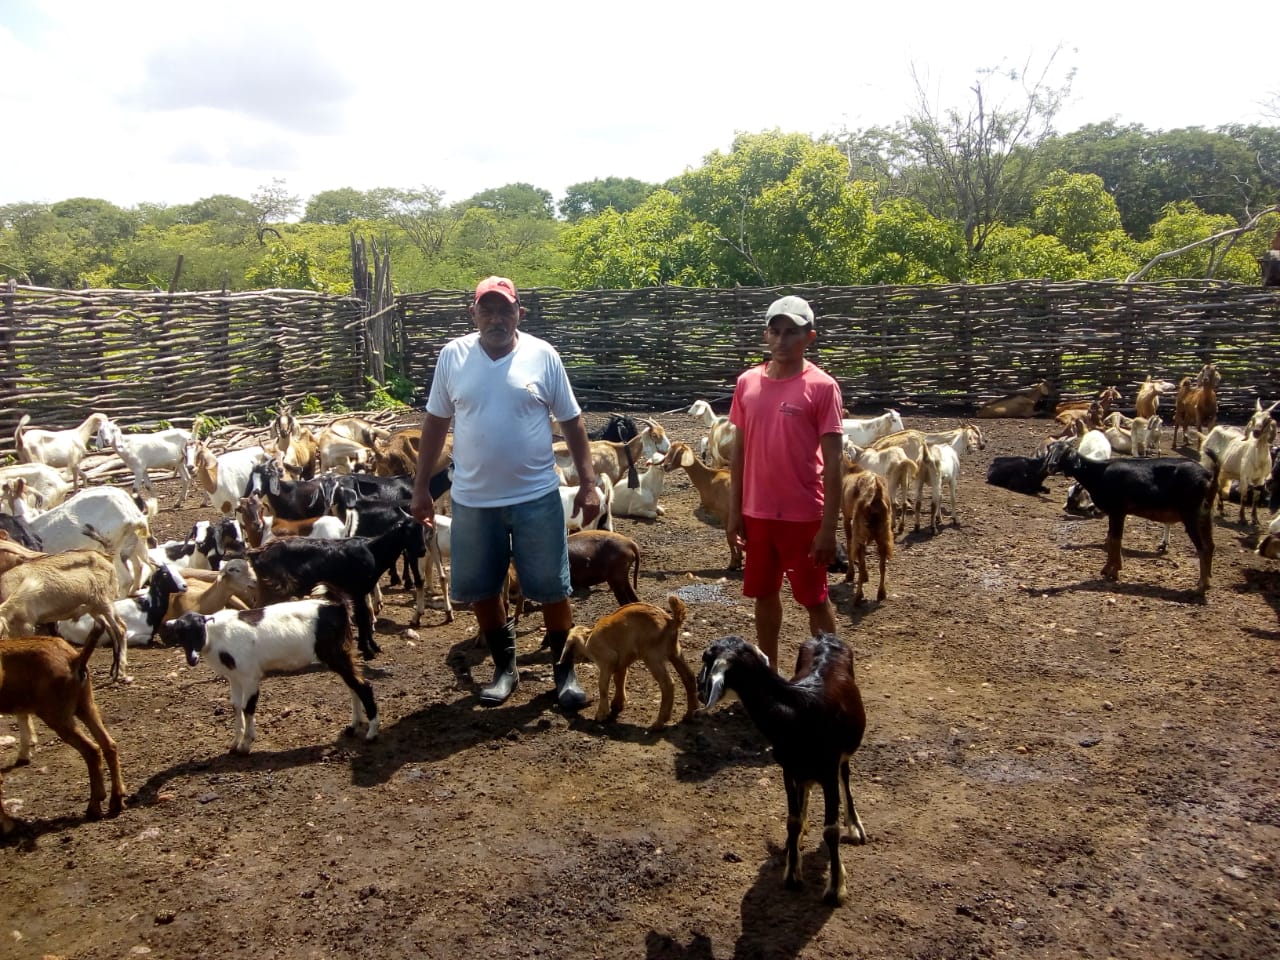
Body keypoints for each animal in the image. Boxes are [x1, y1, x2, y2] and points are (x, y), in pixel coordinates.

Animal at [0, 634, 124, 829]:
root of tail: (75, 660)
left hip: (57, 714)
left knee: (92, 750)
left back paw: (94, 807)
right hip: (85, 704)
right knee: (108, 744)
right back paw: (116, 801)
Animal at [563, 599, 696, 732]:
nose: (570, 660)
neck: (588, 637)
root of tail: (671, 622)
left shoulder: (608, 659)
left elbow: (602, 686)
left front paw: (601, 714)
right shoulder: (621, 662)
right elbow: (619, 680)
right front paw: (617, 703)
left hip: (652, 657)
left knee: (667, 684)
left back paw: (659, 723)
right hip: (675, 653)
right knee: (688, 677)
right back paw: (689, 714)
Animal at [701, 634, 870, 906]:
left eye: (706, 658)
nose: (698, 688)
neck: (796, 713)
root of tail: (824, 636)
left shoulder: (828, 770)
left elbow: (831, 830)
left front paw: (835, 889)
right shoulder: (788, 770)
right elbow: (792, 821)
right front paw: (792, 873)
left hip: (843, 754)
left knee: (845, 775)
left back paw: (854, 827)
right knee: (805, 791)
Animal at [1049, 450, 1218, 593]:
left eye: (1063, 453)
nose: (1050, 466)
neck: (1099, 473)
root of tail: (1207, 476)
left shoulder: (1117, 511)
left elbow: (1114, 540)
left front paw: (1113, 571)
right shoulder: (1116, 513)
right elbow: (1111, 539)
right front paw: (1109, 569)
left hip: (1191, 516)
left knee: (1203, 548)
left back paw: (1201, 586)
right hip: (1205, 516)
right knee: (1210, 546)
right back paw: (1207, 581)